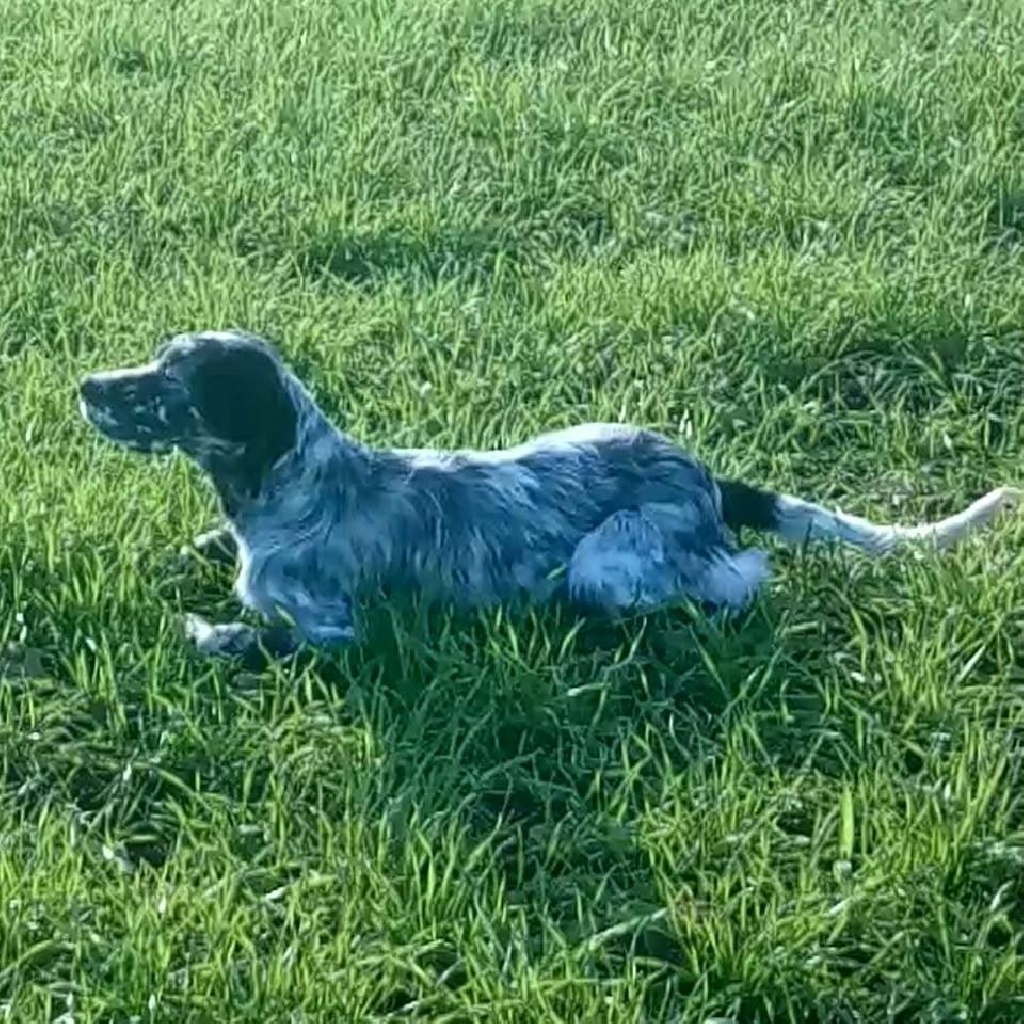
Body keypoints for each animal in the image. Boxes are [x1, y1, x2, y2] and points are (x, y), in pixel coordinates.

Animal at [81, 325, 1024, 663]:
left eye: (171, 385)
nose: (87, 385)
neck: (296, 484)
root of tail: (708, 478)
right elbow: (194, 551)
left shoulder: (335, 631)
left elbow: (243, 636)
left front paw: (203, 629)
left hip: (608, 567)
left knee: (738, 581)